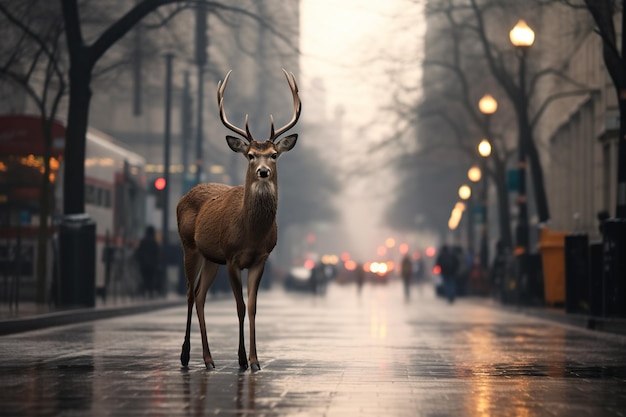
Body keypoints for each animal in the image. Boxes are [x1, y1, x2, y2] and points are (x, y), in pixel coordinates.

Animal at [177, 68, 302, 370]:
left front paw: (256, 361)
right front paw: (242, 359)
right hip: (189, 246)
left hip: (211, 257)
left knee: (201, 296)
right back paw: (185, 356)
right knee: (189, 293)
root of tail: (182, 198)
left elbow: (254, 306)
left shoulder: (261, 258)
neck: (251, 233)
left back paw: (209, 359)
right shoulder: (232, 257)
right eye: (251, 155)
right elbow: (240, 306)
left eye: (274, 154)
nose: (263, 172)